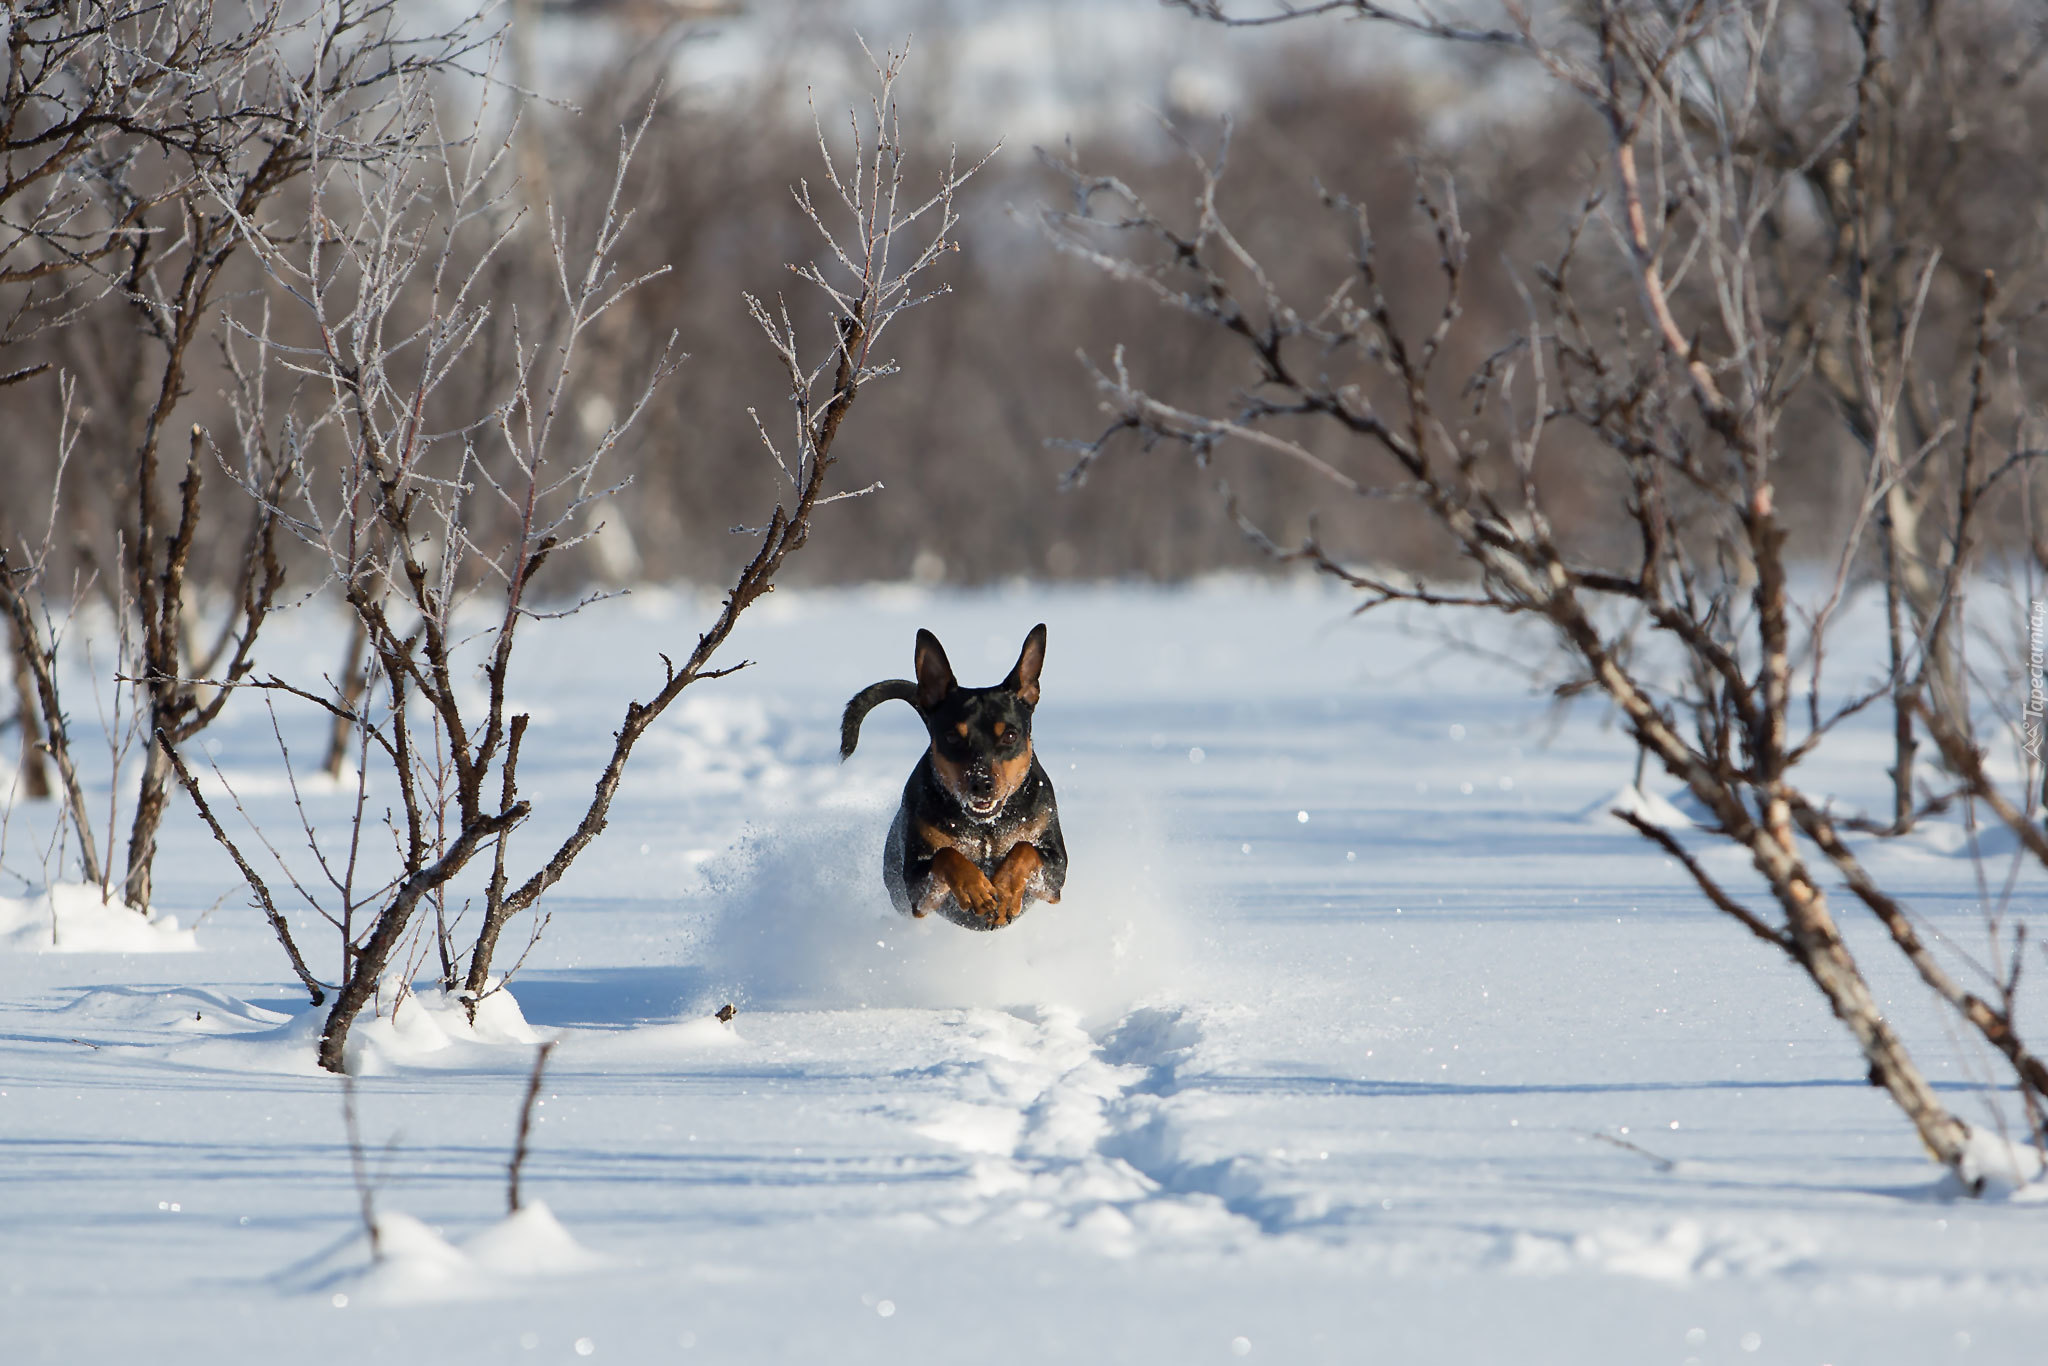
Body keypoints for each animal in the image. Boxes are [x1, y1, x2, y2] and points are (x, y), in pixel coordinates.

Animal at [843, 626, 1073, 929]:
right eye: (952, 736)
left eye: (1010, 735)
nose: (982, 783)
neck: (986, 827)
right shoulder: (916, 892)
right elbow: (946, 855)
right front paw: (976, 890)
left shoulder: (1055, 876)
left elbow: (1025, 849)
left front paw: (1004, 891)